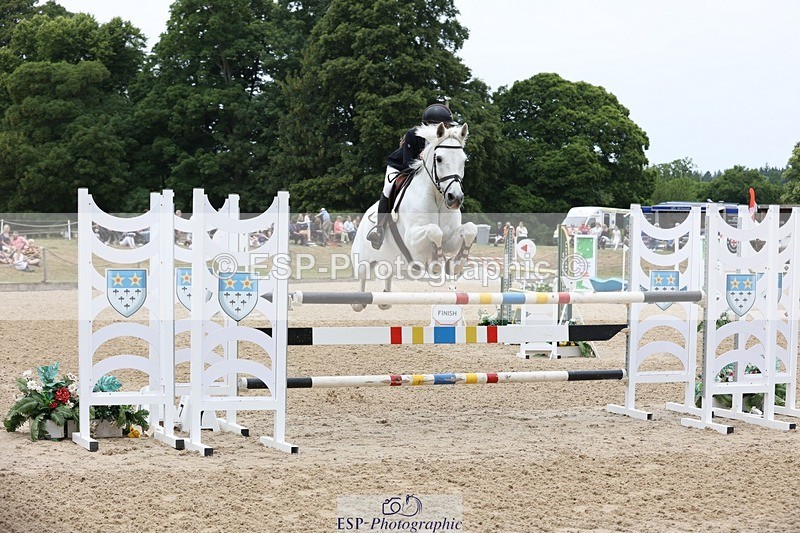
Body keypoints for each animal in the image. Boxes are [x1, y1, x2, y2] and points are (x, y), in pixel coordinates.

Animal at [350, 122, 478, 311]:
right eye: (439, 159)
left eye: (464, 160)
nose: (455, 198)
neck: (437, 197)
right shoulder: (412, 239)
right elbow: (434, 230)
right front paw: (437, 264)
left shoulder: (450, 239)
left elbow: (469, 229)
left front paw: (456, 264)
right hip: (362, 259)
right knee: (362, 277)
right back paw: (358, 302)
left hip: (392, 261)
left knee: (387, 273)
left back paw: (385, 300)